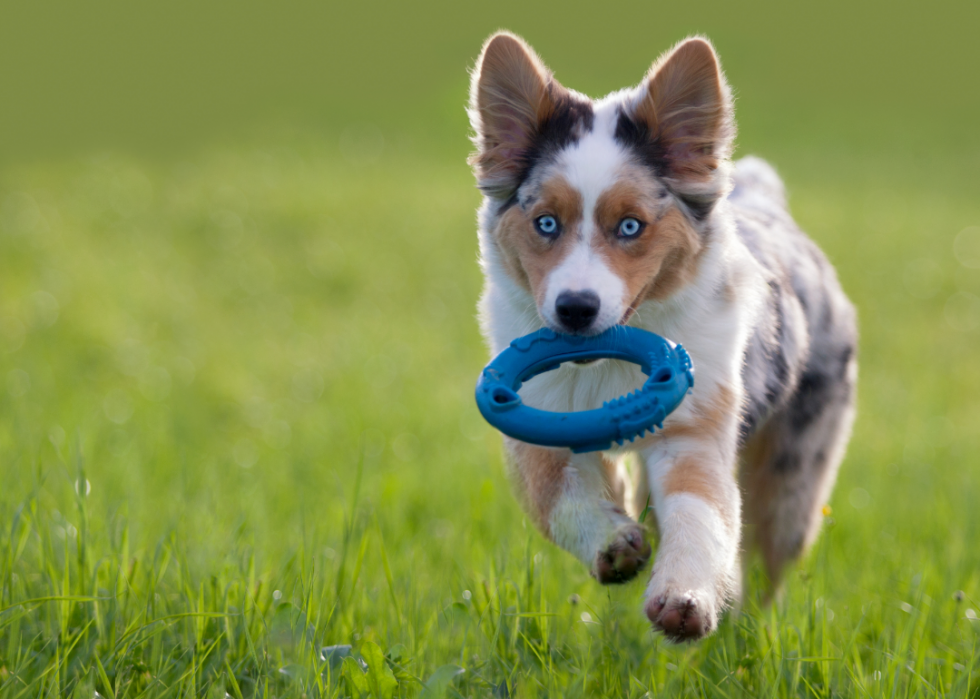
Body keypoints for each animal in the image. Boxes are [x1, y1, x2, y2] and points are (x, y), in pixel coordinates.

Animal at [468, 34, 856, 644]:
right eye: (546, 223)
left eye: (631, 226)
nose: (575, 310)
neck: (602, 370)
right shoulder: (534, 420)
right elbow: (557, 495)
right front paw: (614, 545)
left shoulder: (694, 427)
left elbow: (701, 514)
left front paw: (684, 601)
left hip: (793, 479)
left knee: (765, 560)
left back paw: (741, 633)